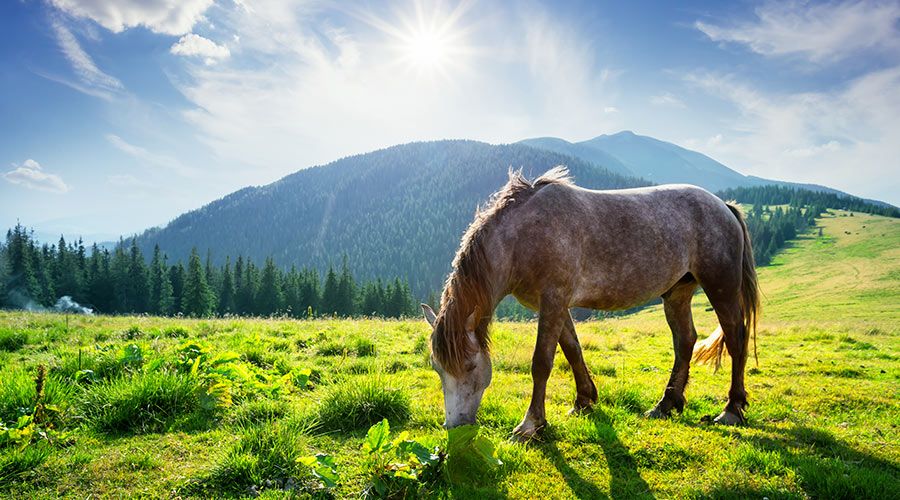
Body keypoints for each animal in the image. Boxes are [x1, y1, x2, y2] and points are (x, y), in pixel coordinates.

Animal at [422, 168, 760, 438]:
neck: (525, 235)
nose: (455, 426)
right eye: (437, 368)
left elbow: (542, 362)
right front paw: (584, 401)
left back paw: (732, 409)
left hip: (721, 287)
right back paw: (665, 404)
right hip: (677, 293)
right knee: (685, 340)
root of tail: (724, 206)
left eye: (470, 366)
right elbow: (572, 350)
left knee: (735, 338)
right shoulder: (553, 305)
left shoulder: (554, 300)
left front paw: (530, 425)